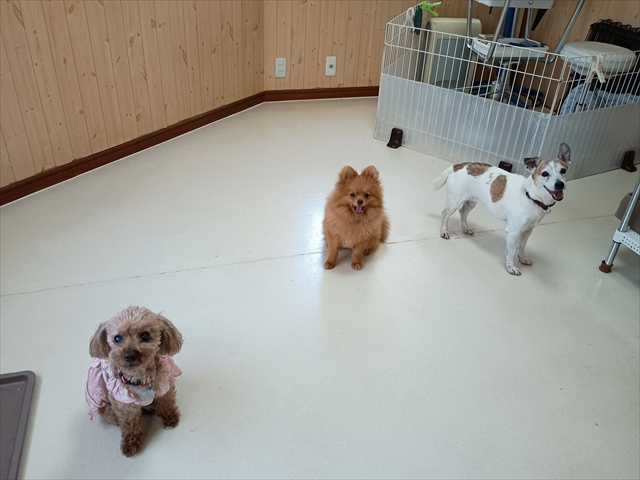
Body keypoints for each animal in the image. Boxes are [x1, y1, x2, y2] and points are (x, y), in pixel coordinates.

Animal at [86, 306, 184, 456]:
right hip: (108, 411)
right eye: (117, 338)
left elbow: (166, 403)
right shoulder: (125, 406)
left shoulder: (165, 385)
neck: (140, 378)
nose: (130, 355)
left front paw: (170, 418)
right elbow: (129, 424)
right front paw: (130, 444)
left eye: (145, 335)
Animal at [433, 143, 571, 275]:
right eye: (545, 174)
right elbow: (511, 251)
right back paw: (444, 231)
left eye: (563, 170)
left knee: (463, 212)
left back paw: (465, 228)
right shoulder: (513, 231)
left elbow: (521, 246)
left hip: (471, 201)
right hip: (454, 202)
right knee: (445, 214)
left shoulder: (528, 230)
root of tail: (459, 165)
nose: (560, 184)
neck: (532, 196)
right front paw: (510, 267)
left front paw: (522, 258)